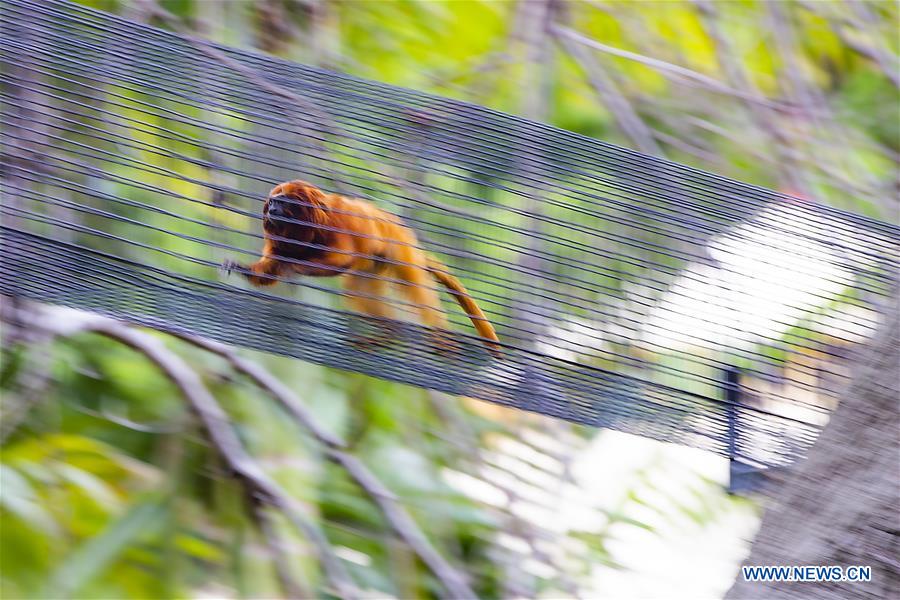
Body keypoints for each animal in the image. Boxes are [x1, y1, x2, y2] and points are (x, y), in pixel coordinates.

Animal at [219, 180, 500, 354]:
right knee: (359, 289)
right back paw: (391, 333)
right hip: (374, 265)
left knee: (418, 291)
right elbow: (272, 269)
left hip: (401, 248)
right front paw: (243, 268)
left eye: (282, 202)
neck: (304, 228)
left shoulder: (338, 223)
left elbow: (342, 259)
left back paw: (438, 333)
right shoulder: (278, 239)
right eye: (272, 201)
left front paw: (294, 266)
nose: (272, 208)